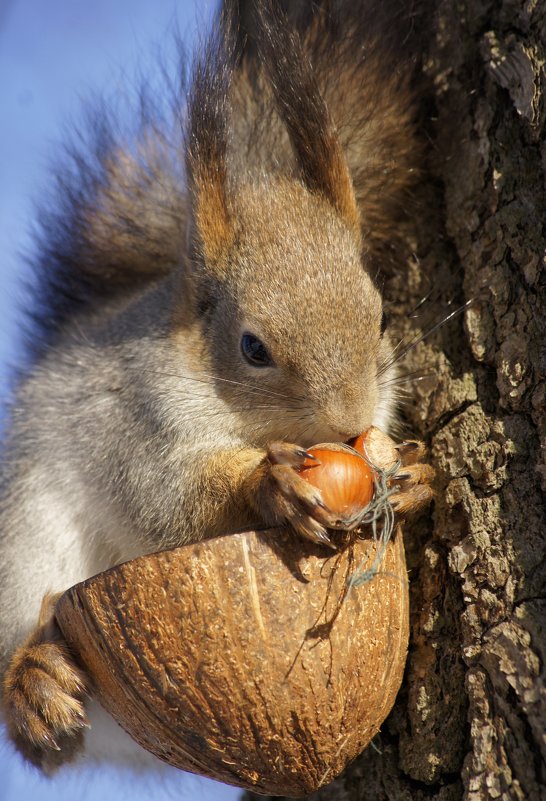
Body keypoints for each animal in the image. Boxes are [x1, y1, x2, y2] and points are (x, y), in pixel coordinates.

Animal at [0, 0, 434, 776]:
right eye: (252, 348)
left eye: (382, 315)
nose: (349, 421)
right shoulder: (137, 420)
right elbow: (168, 497)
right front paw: (271, 486)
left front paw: (413, 478)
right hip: (25, 541)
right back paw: (33, 681)